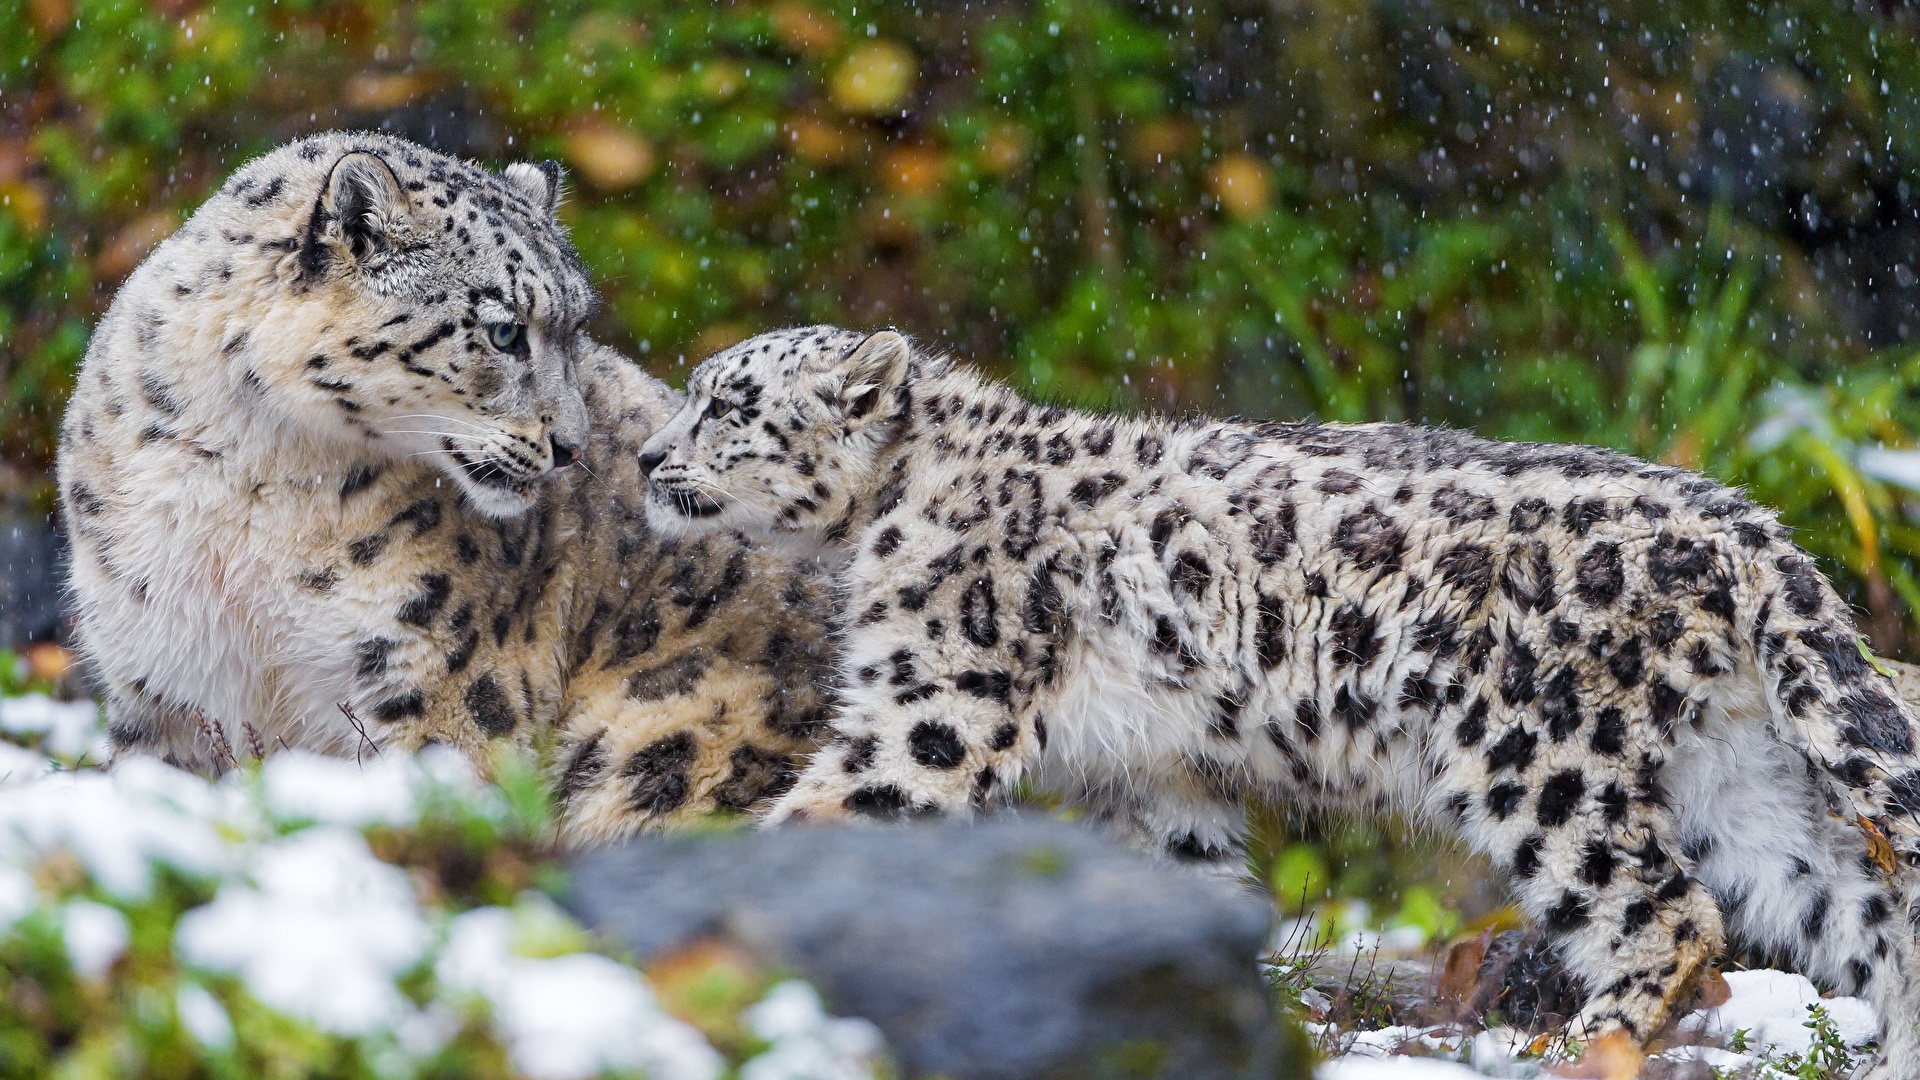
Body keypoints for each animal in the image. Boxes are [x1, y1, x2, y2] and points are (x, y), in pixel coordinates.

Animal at [60, 132, 837, 841]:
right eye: (504, 332)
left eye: (574, 328)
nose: (573, 447)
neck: (248, 485)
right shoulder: (157, 677)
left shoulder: (439, 676)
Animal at [637, 322, 1920, 1068]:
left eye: (727, 406)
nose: (649, 457)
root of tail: (1747, 524)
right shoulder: (1152, 777)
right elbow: (1193, 891)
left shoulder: (930, 709)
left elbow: (820, 816)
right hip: (1738, 775)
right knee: (1861, 907)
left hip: (1541, 759)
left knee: (1667, 914)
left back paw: (1582, 1048)